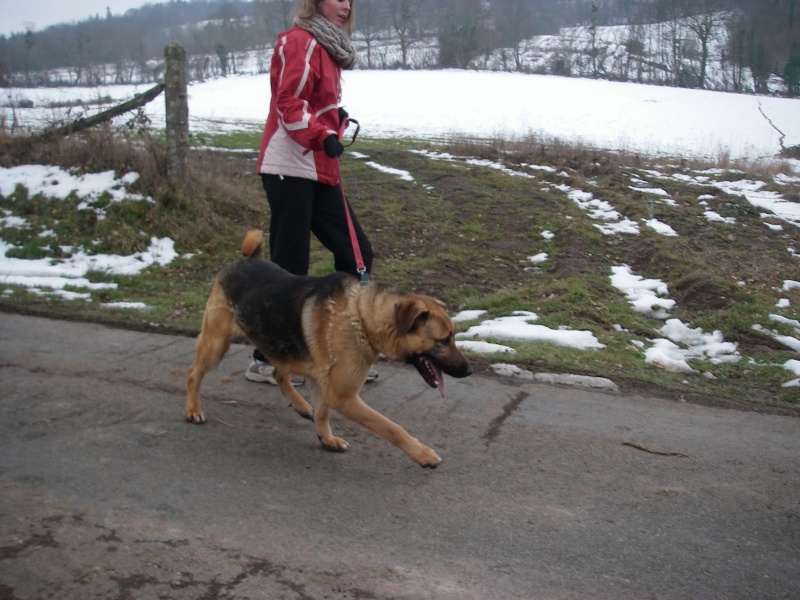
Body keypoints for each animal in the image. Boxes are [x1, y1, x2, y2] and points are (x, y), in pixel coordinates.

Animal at [184, 230, 472, 468]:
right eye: (443, 341)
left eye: (452, 337)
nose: (469, 371)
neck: (361, 318)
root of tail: (245, 261)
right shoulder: (344, 396)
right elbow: (391, 427)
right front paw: (423, 454)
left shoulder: (326, 386)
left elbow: (322, 413)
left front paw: (326, 438)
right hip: (216, 344)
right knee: (193, 373)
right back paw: (193, 410)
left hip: (281, 348)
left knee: (279, 374)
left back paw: (301, 405)